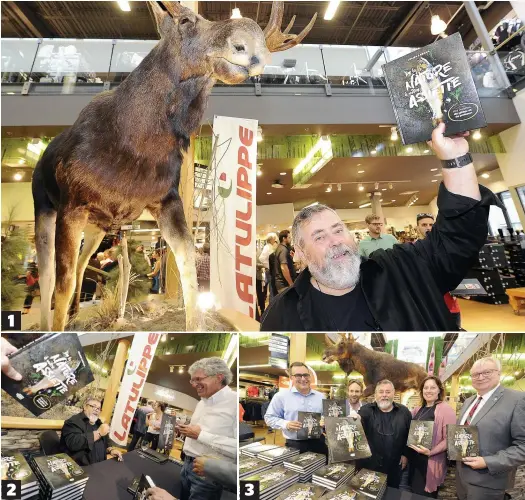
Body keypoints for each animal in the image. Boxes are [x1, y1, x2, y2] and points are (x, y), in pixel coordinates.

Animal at [34, 0, 318, 332]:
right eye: (183, 20)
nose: (253, 49)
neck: (132, 146)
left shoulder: (167, 201)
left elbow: (189, 268)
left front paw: (195, 326)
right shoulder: (72, 205)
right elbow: (61, 283)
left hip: (96, 226)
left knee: (83, 264)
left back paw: (78, 313)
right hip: (46, 207)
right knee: (48, 275)